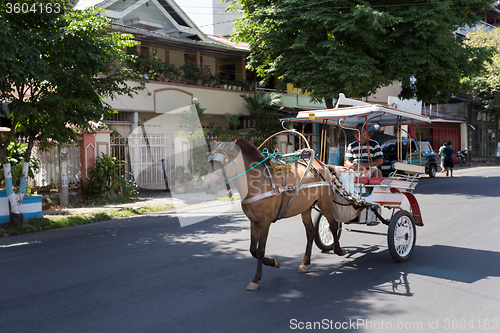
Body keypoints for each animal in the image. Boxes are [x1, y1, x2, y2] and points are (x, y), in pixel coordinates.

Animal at [202, 136, 344, 290]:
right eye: (210, 162)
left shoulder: (265, 221)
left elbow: (260, 250)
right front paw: (274, 262)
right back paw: (304, 263)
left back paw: (338, 250)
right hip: (305, 208)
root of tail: (322, 166)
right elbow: (253, 249)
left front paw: (256, 279)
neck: (257, 182)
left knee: (332, 226)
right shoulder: (253, 221)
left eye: (225, 162)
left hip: (325, 203)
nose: (207, 186)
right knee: (311, 232)